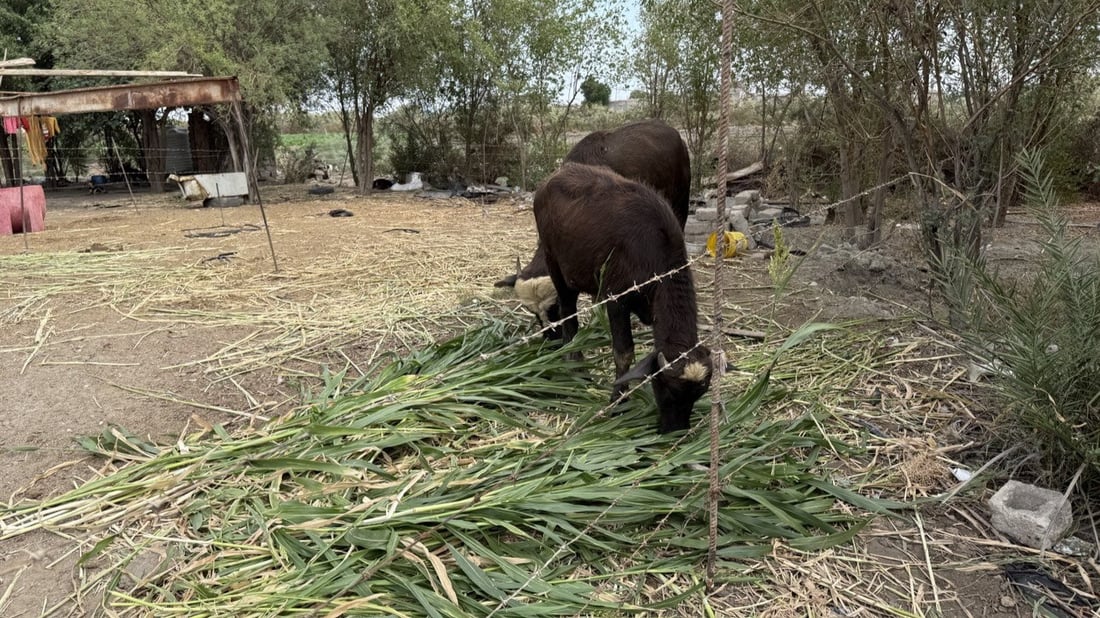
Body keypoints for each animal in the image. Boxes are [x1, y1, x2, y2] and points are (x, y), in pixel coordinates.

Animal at [534, 163, 712, 433]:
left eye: (697, 395)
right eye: (669, 390)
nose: (675, 430)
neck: (654, 254)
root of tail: (550, 180)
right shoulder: (616, 299)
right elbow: (624, 352)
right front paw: (618, 403)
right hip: (555, 264)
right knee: (568, 313)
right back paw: (575, 366)